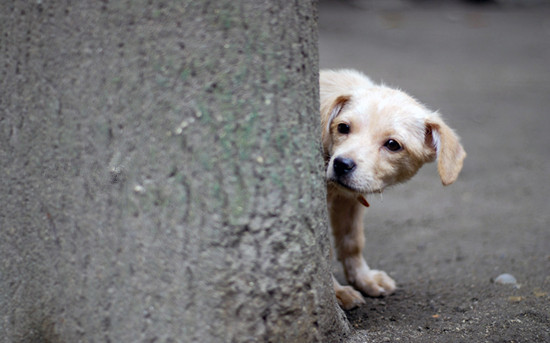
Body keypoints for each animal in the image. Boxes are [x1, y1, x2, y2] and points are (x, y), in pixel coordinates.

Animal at [322, 68, 468, 310]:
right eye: (343, 127)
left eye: (392, 145)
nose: (341, 165)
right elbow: (324, 251)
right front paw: (338, 293)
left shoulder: (348, 200)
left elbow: (352, 241)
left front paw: (364, 279)